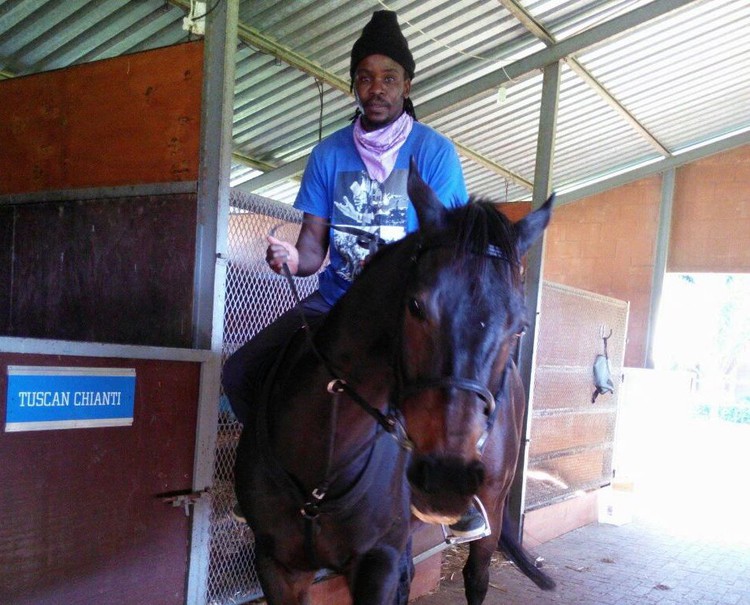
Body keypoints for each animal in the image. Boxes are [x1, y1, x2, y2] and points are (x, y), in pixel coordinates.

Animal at [235, 162, 560, 604]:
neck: (325, 461)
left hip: (491, 503)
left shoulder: (378, 561)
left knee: (476, 576)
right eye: (416, 305)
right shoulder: (278, 566)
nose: (446, 479)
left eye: (521, 327)